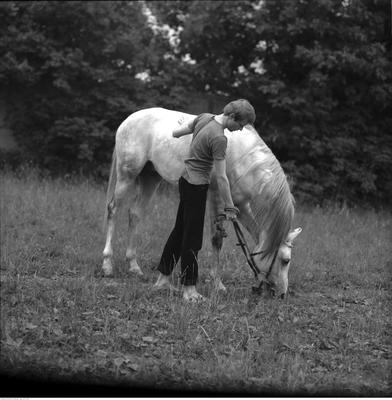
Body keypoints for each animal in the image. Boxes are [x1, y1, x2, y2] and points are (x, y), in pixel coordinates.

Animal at [102, 106, 302, 296]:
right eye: (286, 260)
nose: (282, 294)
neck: (245, 161)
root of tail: (130, 119)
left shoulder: (240, 206)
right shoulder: (217, 198)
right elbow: (217, 239)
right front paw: (218, 284)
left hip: (150, 179)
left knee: (134, 215)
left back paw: (133, 266)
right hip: (127, 176)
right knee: (113, 210)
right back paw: (107, 265)